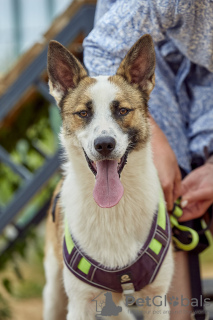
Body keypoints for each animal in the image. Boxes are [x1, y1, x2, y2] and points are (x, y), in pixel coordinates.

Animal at [42, 35, 173, 320]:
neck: (113, 210)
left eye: (122, 111)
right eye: (83, 113)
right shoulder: (80, 304)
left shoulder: (156, 299)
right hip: (54, 293)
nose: (104, 145)